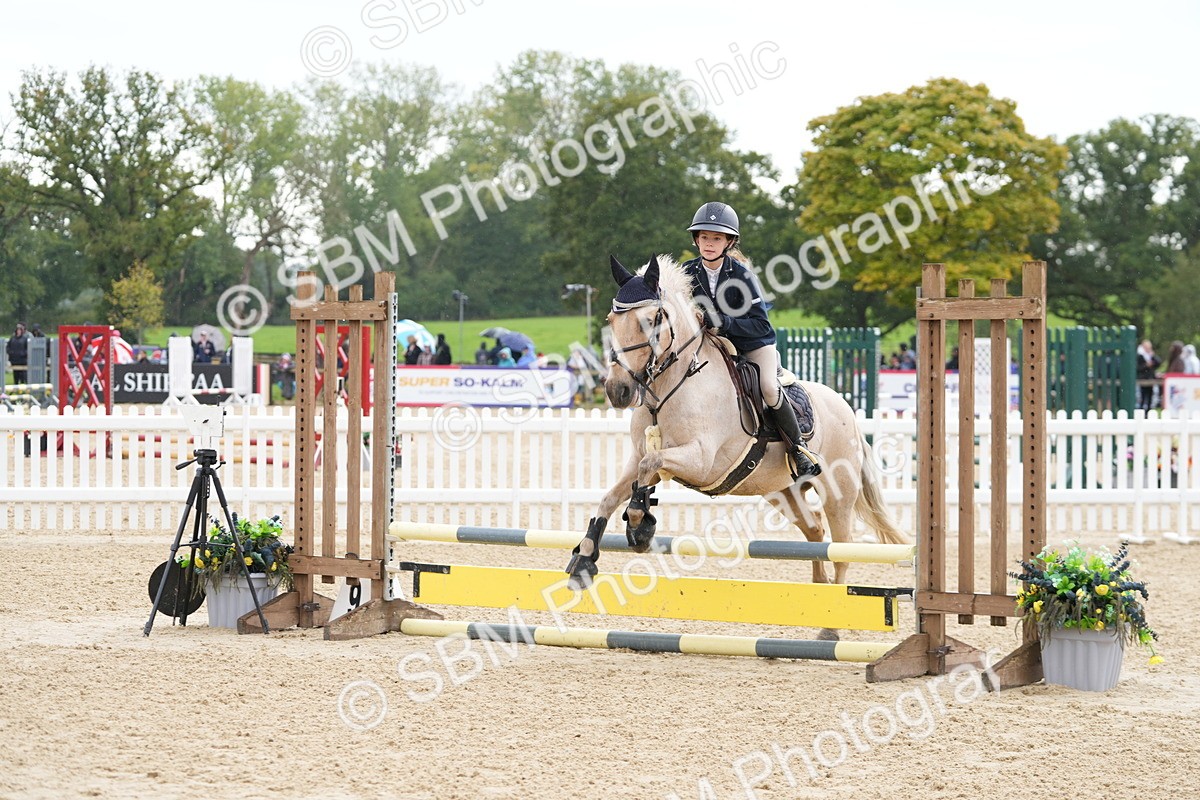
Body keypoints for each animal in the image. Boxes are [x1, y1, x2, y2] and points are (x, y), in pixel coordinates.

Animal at [565, 254, 908, 634]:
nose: (618, 390)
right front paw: (584, 560)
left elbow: (649, 468)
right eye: (611, 320)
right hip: (783, 492)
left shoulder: (701, 461)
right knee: (815, 529)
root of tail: (847, 409)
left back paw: (831, 624)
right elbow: (614, 494)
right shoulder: (643, 456)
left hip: (839, 492)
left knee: (842, 547)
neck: (671, 385)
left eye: (653, 319)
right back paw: (820, 595)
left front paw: (640, 526)